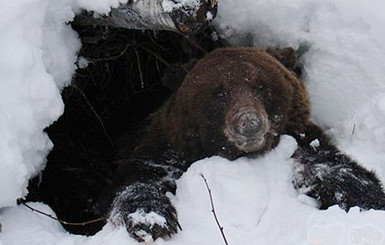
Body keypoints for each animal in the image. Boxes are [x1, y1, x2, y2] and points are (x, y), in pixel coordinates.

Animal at [103, 47, 384, 241]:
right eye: (219, 91)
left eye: (261, 86)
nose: (249, 122)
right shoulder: (165, 150)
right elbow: (141, 178)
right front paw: (151, 220)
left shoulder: (302, 144)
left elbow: (336, 170)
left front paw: (369, 199)